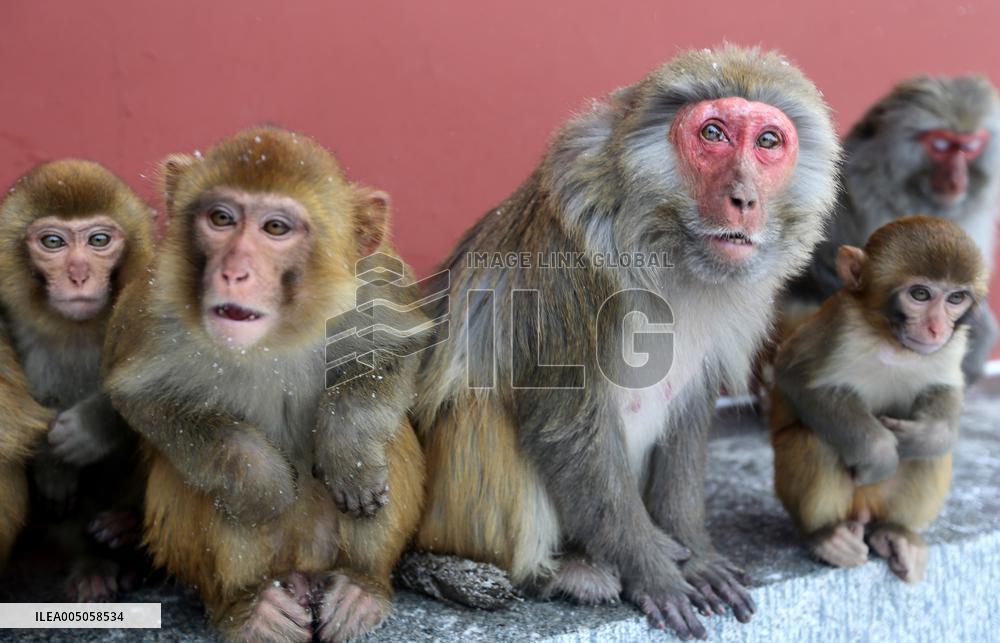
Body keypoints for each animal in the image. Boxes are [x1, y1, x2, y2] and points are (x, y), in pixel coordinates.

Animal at [0, 159, 154, 600]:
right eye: (53, 242)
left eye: (99, 240)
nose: (80, 275)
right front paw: (52, 465)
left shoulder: (146, 296)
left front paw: (90, 429)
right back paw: (92, 563)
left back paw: (128, 529)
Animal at [103, 126, 426, 642]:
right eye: (221, 218)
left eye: (276, 229)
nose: (234, 272)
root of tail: (304, 563)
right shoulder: (152, 311)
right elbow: (142, 400)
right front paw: (263, 482)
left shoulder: (375, 281)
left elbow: (398, 350)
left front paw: (349, 453)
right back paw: (248, 606)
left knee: (390, 441)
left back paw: (361, 585)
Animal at [403, 46, 840, 640]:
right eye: (713, 133)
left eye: (768, 142)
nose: (744, 198)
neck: (668, 243)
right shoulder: (573, 263)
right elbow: (566, 420)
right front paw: (650, 568)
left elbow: (690, 409)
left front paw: (695, 553)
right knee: (478, 406)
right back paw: (557, 573)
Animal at [771, 215, 987, 583]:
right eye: (920, 294)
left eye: (956, 298)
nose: (936, 329)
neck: (891, 339)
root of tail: (865, 509)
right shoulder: (839, 327)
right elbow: (796, 378)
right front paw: (881, 452)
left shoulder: (953, 344)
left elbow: (945, 390)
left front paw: (923, 436)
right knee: (813, 440)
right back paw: (826, 537)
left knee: (932, 456)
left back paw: (896, 533)